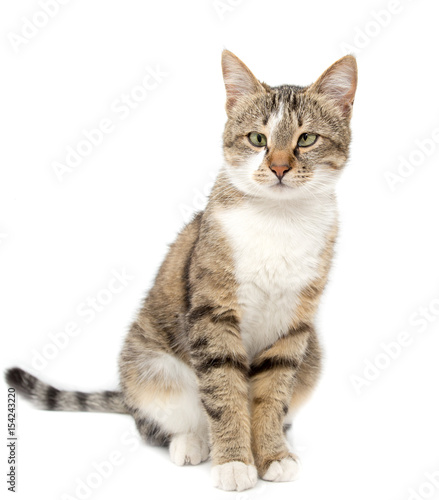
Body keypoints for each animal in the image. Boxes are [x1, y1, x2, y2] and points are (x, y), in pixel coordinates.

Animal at [5, 49, 360, 492]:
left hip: (313, 355)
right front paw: (234, 461)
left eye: (307, 139)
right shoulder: (212, 314)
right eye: (257, 139)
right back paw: (192, 441)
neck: (279, 220)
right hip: (150, 366)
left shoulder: (293, 327)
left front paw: (272, 454)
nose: (279, 168)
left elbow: (272, 394)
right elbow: (224, 392)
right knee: (156, 421)